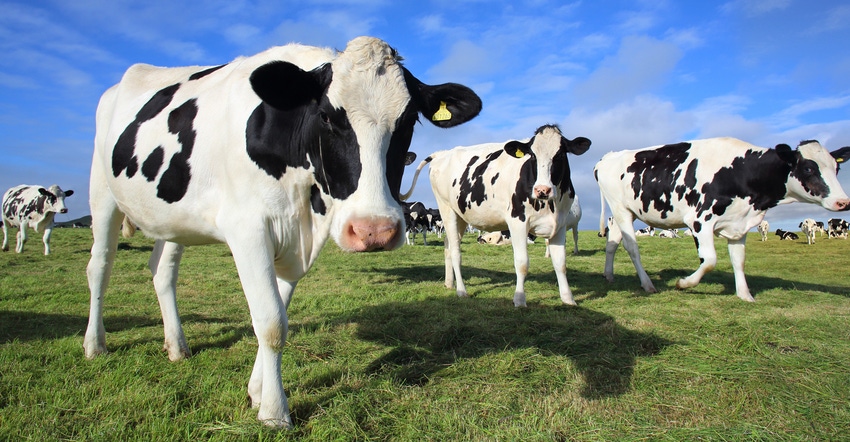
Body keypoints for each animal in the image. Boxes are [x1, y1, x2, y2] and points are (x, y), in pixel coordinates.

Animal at [82, 38, 480, 428]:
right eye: (325, 116)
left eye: (409, 120)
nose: (374, 231)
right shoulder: (248, 230)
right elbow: (271, 323)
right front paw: (274, 412)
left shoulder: (295, 242)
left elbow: (279, 313)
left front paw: (257, 391)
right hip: (102, 193)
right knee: (99, 266)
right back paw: (95, 344)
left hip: (172, 218)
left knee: (162, 270)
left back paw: (177, 346)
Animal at [400, 122, 588, 306]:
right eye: (533, 156)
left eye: (560, 155)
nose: (542, 190)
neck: (550, 205)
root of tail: (442, 153)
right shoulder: (518, 222)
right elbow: (522, 263)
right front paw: (519, 299)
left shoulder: (560, 224)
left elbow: (560, 263)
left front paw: (568, 299)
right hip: (447, 209)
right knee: (455, 252)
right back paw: (461, 290)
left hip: (460, 216)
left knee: (448, 245)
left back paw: (449, 283)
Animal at [592, 139, 848, 304]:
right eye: (808, 168)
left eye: (837, 168)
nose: (843, 202)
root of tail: (607, 157)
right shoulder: (699, 220)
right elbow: (710, 261)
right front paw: (683, 283)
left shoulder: (740, 224)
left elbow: (739, 260)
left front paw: (745, 295)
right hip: (621, 210)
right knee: (632, 247)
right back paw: (647, 284)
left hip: (625, 212)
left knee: (613, 242)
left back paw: (609, 275)